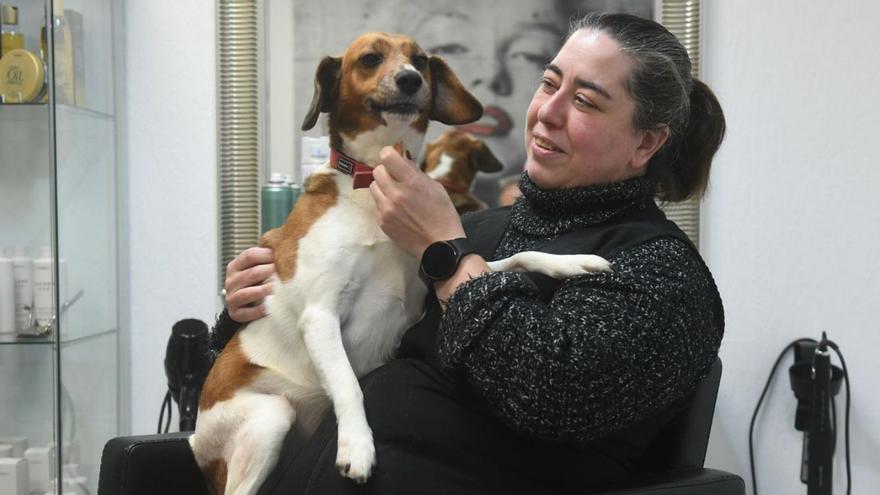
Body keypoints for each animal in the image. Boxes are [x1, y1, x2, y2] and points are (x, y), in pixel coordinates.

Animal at [190, 33, 612, 494]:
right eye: (370, 58)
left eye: (421, 60)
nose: (410, 80)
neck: (375, 178)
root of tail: (194, 439)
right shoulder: (320, 316)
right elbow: (349, 385)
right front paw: (357, 446)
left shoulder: (433, 278)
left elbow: (518, 256)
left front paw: (575, 263)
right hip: (270, 417)